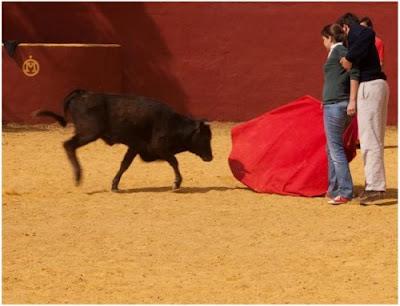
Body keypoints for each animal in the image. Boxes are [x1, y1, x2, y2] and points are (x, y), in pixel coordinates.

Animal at [35, 89, 212, 191]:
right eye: (205, 137)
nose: (211, 157)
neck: (174, 124)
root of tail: (81, 94)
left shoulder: (135, 147)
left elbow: (124, 164)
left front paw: (114, 185)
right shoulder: (159, 148)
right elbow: (174, 161)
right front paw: (177, 183)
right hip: (89, 133)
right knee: (69, 145)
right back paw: (78, 176)